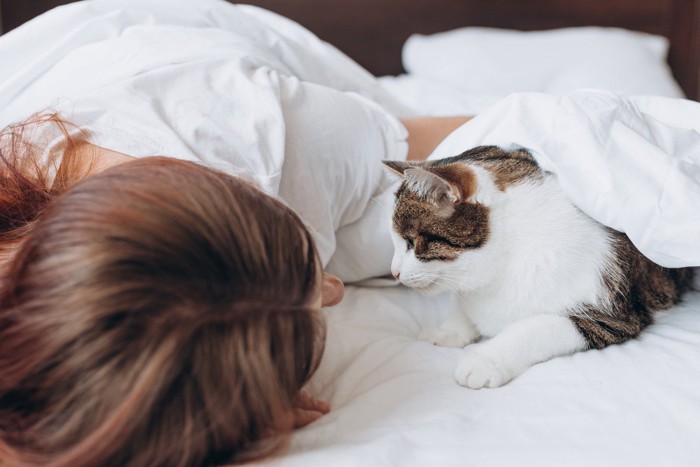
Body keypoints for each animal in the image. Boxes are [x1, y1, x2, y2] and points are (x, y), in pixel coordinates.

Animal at [382, 146, 696, 392]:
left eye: (411, 242)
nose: (394, 272)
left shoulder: (609, 313)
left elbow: (534, 328)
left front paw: (484, 359)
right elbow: (462, 303)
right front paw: (449, 330)